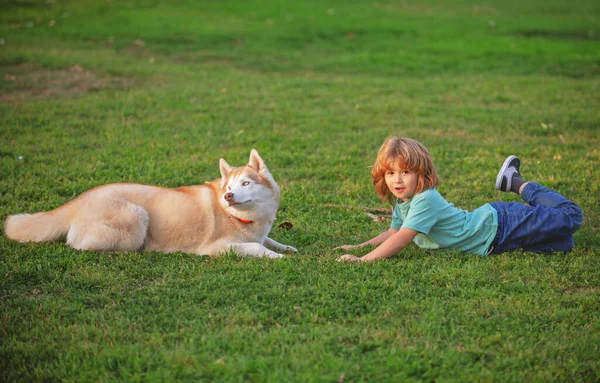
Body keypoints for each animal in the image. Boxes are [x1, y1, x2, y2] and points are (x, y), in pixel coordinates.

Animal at [2, 149, 298, 258]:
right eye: (228, 188)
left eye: (245, 184)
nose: (228, 196)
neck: (239, 217)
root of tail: (79, 199)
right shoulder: (218, 247)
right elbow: (256, 247)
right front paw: (277, 257)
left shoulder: (260, 232)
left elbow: (268, 239)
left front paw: (286, 247)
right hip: (135, 217)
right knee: (79, 244)